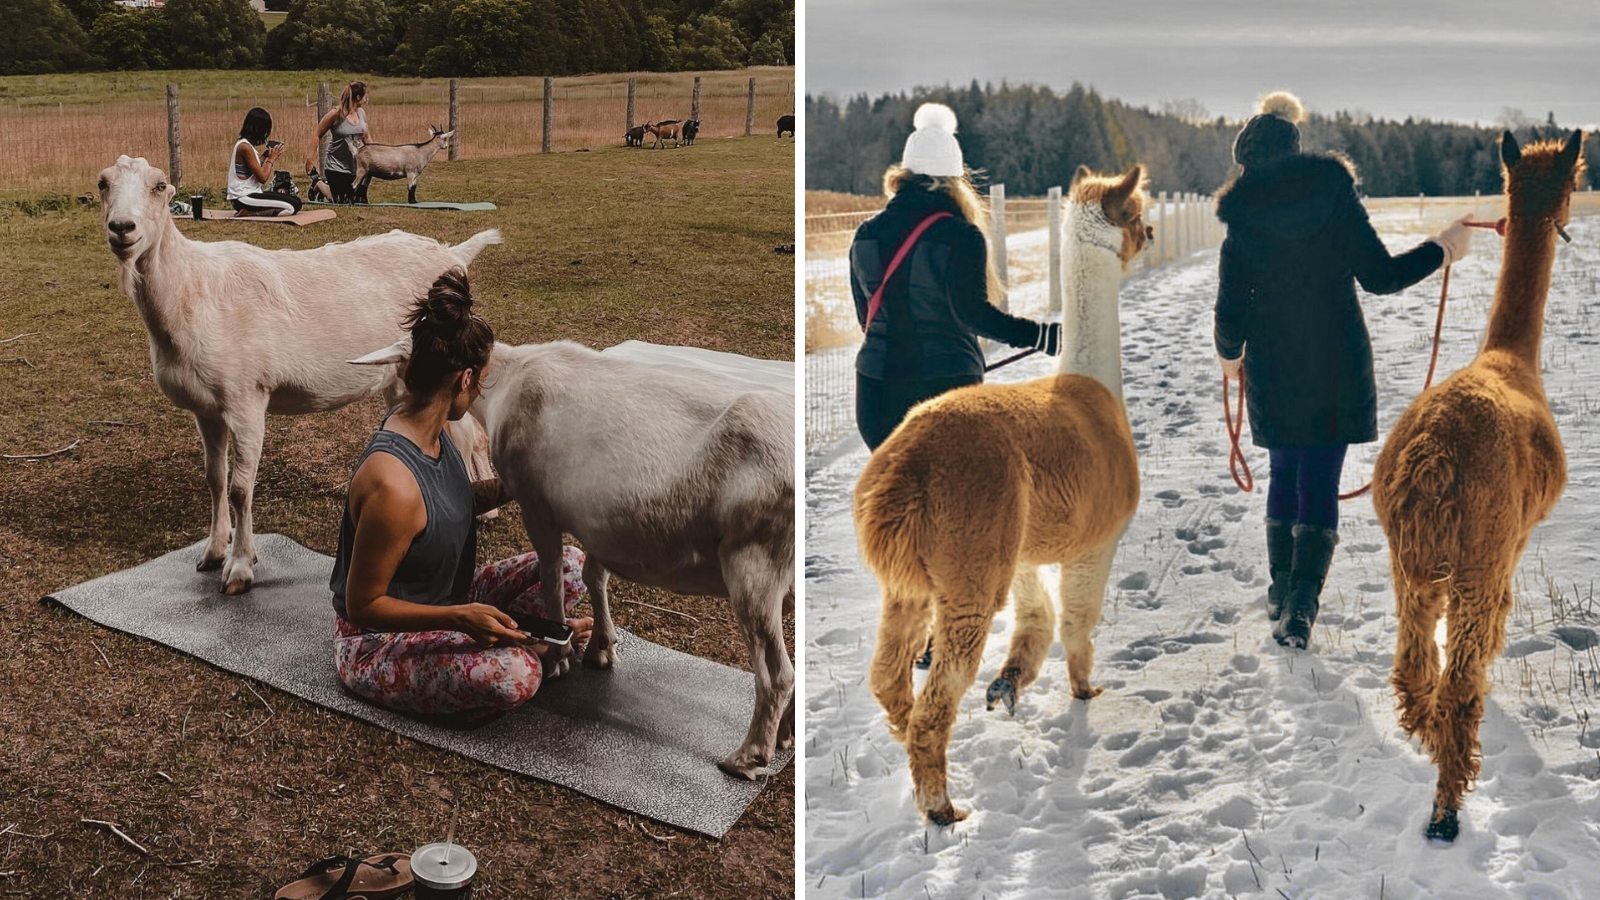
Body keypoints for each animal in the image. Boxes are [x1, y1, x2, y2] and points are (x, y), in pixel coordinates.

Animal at [100, 153, 499, 592]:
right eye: (103, 182)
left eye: (159, 185)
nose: (122, 228)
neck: (192, 289)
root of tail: (455, 255)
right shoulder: (206, 408)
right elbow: (215, 478)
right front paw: (213, 550)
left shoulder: (247, 398)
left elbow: (240, 489)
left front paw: (240, 567)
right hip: (402, 377)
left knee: (472, 433)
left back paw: (486, 510)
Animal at [355, 333, 793, 775]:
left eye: (399, 374)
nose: (391, 420)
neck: (509, 382)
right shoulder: (599, 522)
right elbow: (594, 577)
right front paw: (601, 646)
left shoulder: (537, 505)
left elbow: (551, 575)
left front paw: (558, 656)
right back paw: (785, 735)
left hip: (753, 564)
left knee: (777, 673)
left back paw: (749, 755)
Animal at [864, 164, 1152, 826]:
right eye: (1136, 214)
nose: (1151, 235)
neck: (1094, 390)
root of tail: (903, 470)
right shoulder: (1095, 542)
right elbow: (1077, 619)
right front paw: (1084, 689)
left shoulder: (1021, 546)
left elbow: (1036, 617)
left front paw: (1011, 681)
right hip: (969, 562)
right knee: (935, 698)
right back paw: (942, 808)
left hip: (920, 576)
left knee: (889, 676)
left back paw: (907, 750)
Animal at [1369, 128, 1580, 839]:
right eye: (1577, 177)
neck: (1512, 360)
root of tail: (1433, 456)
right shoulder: (1510, 544)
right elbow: (1498, 627)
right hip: (1473, 557)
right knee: (1457, 683)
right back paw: (1446, 810)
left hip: (1408, 558)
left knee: (1413, 667)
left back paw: (1428, 737)